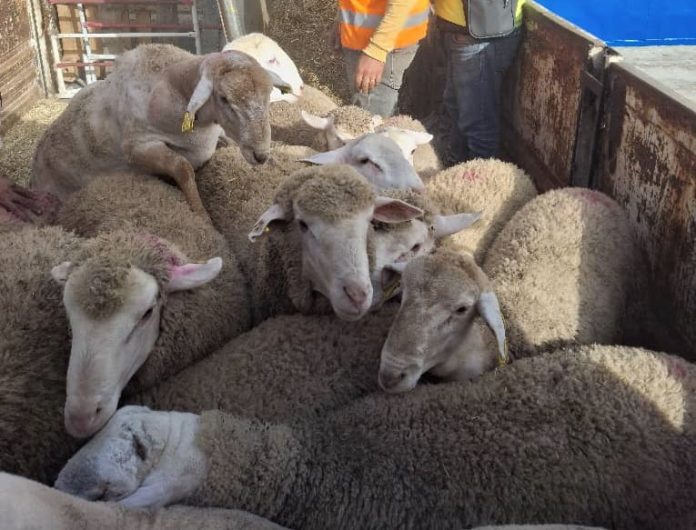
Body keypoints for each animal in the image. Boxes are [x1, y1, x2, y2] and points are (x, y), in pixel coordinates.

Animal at [31, 43, 283, 216]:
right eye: (223, 98)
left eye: (269, 93)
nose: (260, 155)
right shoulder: (138, 146)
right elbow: (183, 168)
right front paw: (200, 214)